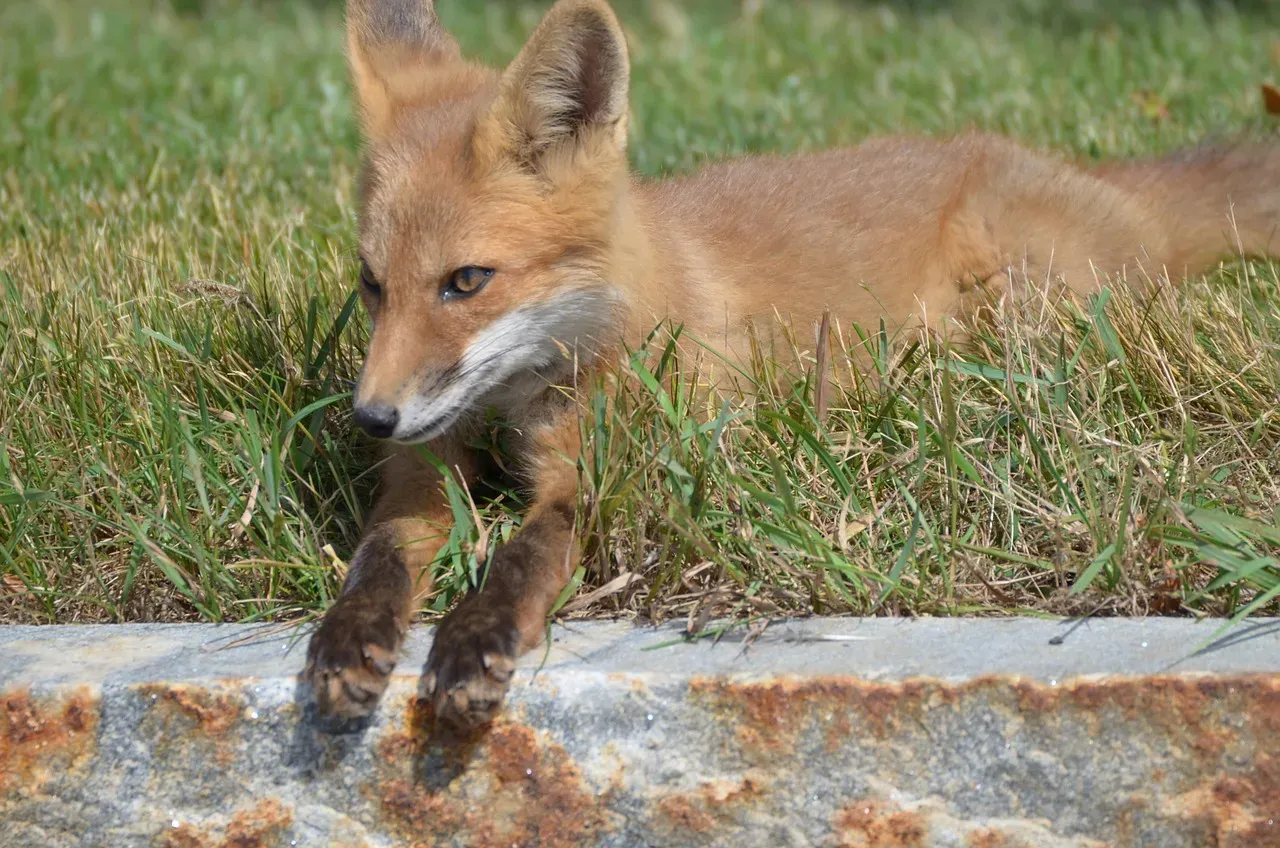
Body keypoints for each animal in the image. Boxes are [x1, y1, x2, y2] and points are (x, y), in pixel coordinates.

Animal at [304, 0, 1280, 728]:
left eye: (466, 281)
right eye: (372, 284)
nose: (370, 417)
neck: (521, 402)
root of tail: (1100, 181)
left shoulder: (612, 478)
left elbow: (524, 557)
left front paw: (473, 645)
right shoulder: (422, 473)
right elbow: (378, 558)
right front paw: (346, 643)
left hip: (1019, 304)